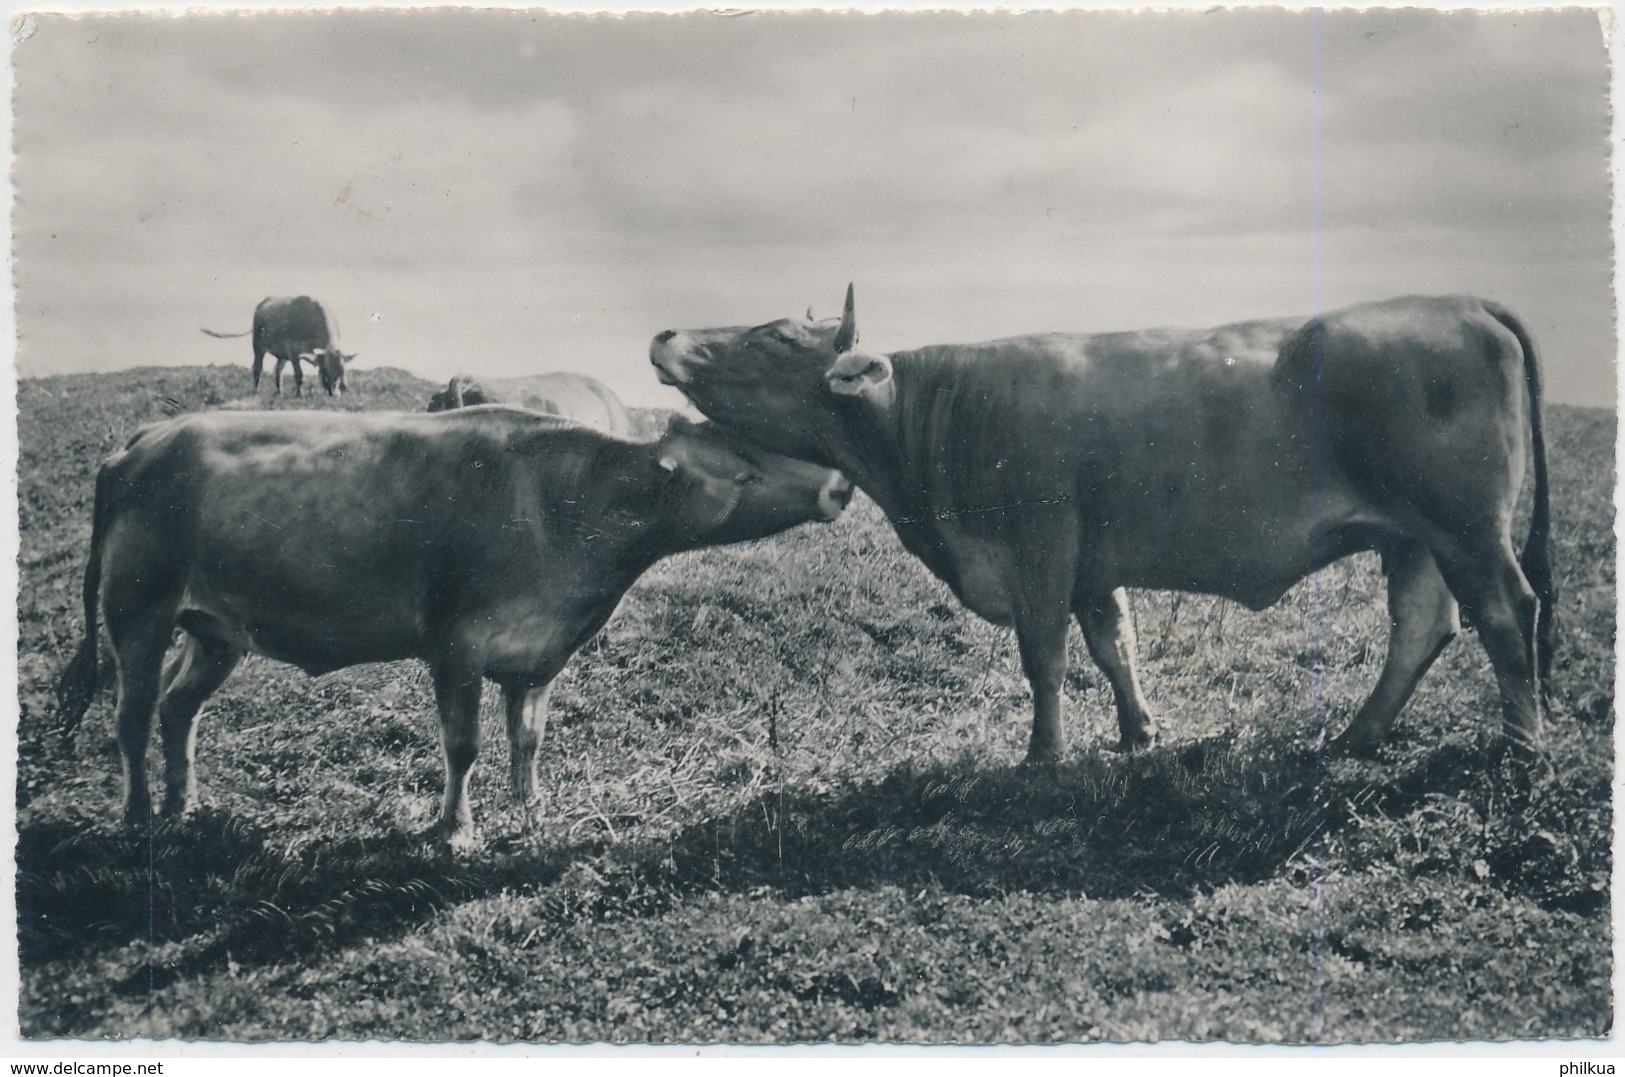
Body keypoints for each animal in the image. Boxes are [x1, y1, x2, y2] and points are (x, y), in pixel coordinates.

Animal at [57, 406, 858, 851]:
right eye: (745, 464)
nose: (839, 484)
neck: (564, 507)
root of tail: (144, 441)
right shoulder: (455, 644)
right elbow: (463, 745)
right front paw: (456, 828)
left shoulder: (536, 654)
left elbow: (527, 737)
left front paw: (531, 808)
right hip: (139, 610)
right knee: (131, 715)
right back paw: (138, 814)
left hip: (217, 628)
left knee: (176, 708)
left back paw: (184, 801)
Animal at [201, 295, 354, 396]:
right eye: (326, 371)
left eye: (342, 371)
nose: (335, 394)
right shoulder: (293, 352)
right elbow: (299, 374)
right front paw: (299, 394)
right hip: (258, 346)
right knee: (257, 368)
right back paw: (255, 390)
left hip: (282, 355)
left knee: (278, 370)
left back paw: (279, 391)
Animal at [653, 282, 1553, 763]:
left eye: (772, 337)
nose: (664, 331)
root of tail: (1457, 301)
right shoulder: (1092, 560)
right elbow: (1112, 645)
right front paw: (1136, 733)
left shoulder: (1042, 545)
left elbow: (1045, 657)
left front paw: (1042, 753)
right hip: (1416, 536)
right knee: (1423, 625)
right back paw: (1355, 737)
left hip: (1466, 526)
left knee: (1505, 612)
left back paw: (1522, 740)